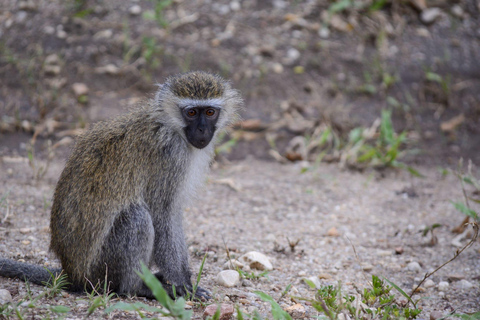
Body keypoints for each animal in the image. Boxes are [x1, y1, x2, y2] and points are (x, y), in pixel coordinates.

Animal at [0, 71, 242, 298]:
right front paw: (183, 285)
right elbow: (163, 216)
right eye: (191, 112)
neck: (168, 125)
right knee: (137, 217)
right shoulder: (170, 157)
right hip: (102, 269)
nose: (202, 130)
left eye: (210, 112)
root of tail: (73, 274)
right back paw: (138, 288)